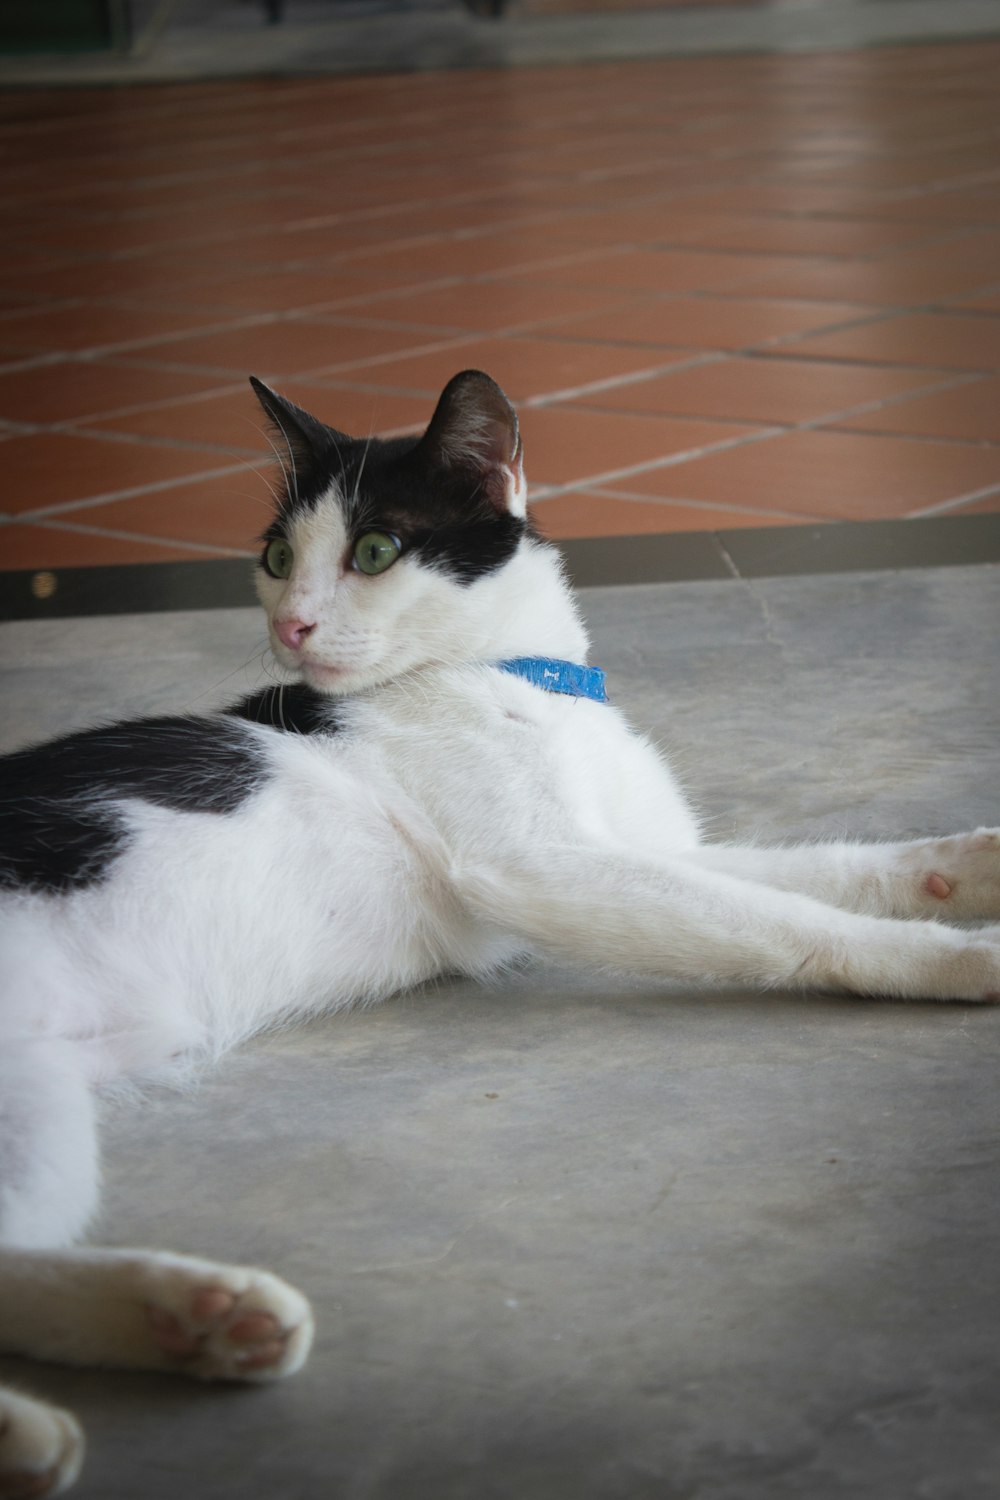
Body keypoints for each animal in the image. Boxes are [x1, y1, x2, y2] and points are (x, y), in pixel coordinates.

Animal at [1, 369, 1000, 1494]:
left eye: (374, 551)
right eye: (277, 559)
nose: (293, 626)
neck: (523, 683)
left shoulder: (644, 848)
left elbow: (823, 868)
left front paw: (968, 868)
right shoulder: (538, 868)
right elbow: (776, 917)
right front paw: (948, 958)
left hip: (34, 1093)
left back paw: (193, 1320)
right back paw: (52, 1412)